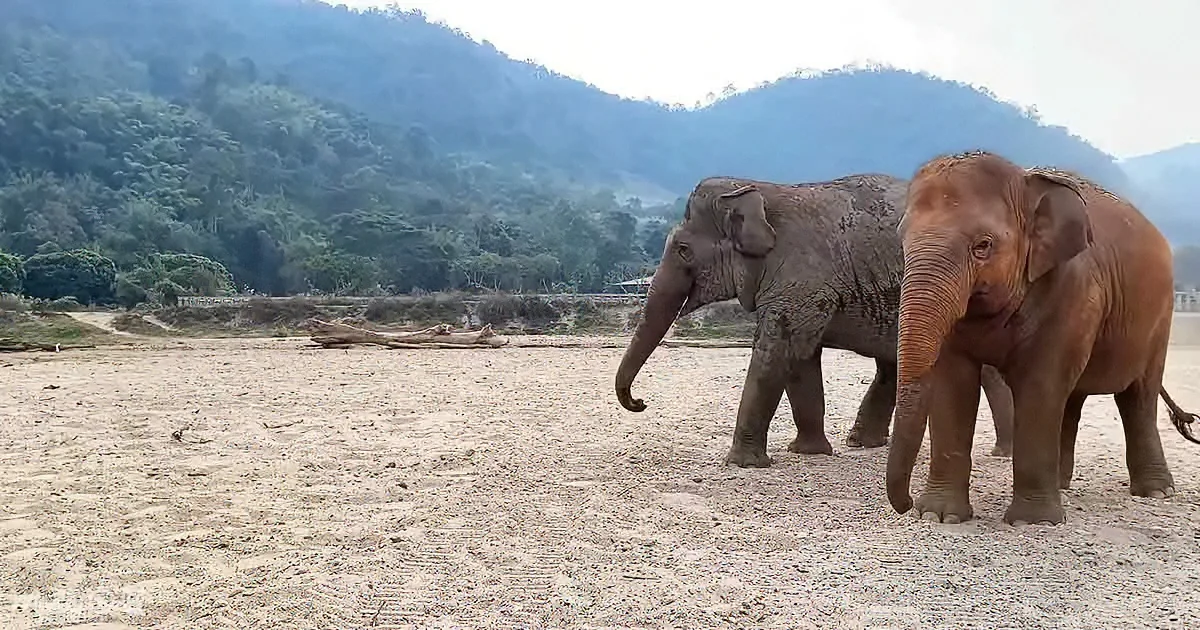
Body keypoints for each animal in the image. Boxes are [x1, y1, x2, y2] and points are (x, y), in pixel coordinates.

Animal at [613, 174, 1016, 467]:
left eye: (682, 249)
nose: (640, 402)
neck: (755, 187)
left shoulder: (800, 278)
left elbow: (776, 352)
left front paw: (742, 464)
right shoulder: (805, 292)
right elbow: (802, 359)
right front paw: (808, 452)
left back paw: (1002, 453)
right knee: (894, 365)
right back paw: (864, 444)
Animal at [885, 150, 1200, 526]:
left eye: (983, 246)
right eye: (902, 240)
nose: (904, 505)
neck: (1025, 184)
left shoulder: (1072, 288)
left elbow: (1040, 383)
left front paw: (1032, 522)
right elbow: (953, 383)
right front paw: (938, 515)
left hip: (1159, 320)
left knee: (1138, 396)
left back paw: (1155, 492)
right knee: (1072, 399)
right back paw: (1062, 485)